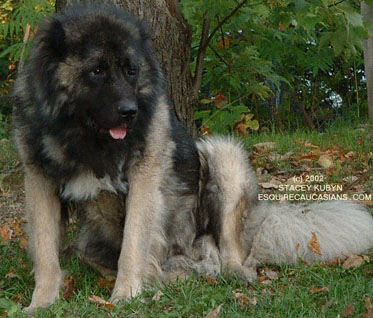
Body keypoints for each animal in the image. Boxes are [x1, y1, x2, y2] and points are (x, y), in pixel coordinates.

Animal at [12, 1, 372, 312]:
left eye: (131, 71)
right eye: (97, 70)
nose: (130, 112)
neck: (86, 136)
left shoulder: (144, 179)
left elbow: (133, 244)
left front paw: (125, 294)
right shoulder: (39, 179)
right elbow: (45, 251)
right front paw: (41, 303)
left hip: (222, 157)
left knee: (231, 250)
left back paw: (228, 272)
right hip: (92, 241)